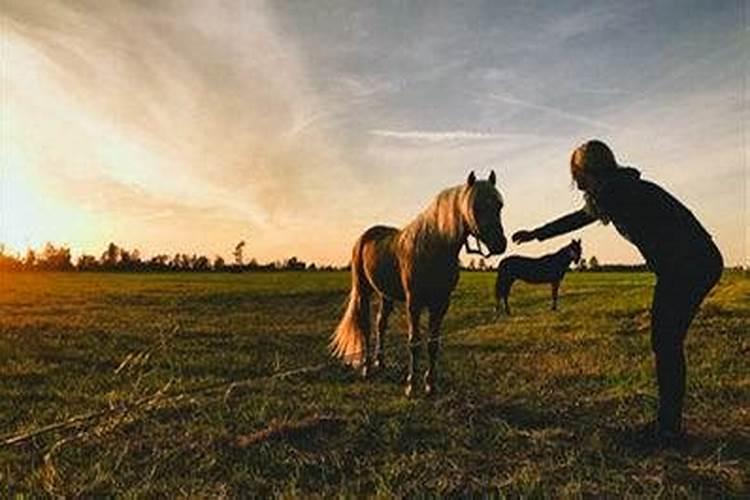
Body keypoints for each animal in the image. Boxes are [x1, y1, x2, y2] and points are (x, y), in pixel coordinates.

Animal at [332, 171, 508, 394]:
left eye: (499, 206)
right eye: (476, 206)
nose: (500, 244)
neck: (434, 247)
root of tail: (363, 238)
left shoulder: (441, 304)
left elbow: (433, 343)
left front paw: (430, 384)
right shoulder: (414, 303)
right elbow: (414, 342)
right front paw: (411, 384)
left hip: (385, 295)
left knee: (381, 324)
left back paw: (381, 363)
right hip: (364, 291)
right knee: (365, 326)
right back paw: (367, 368)